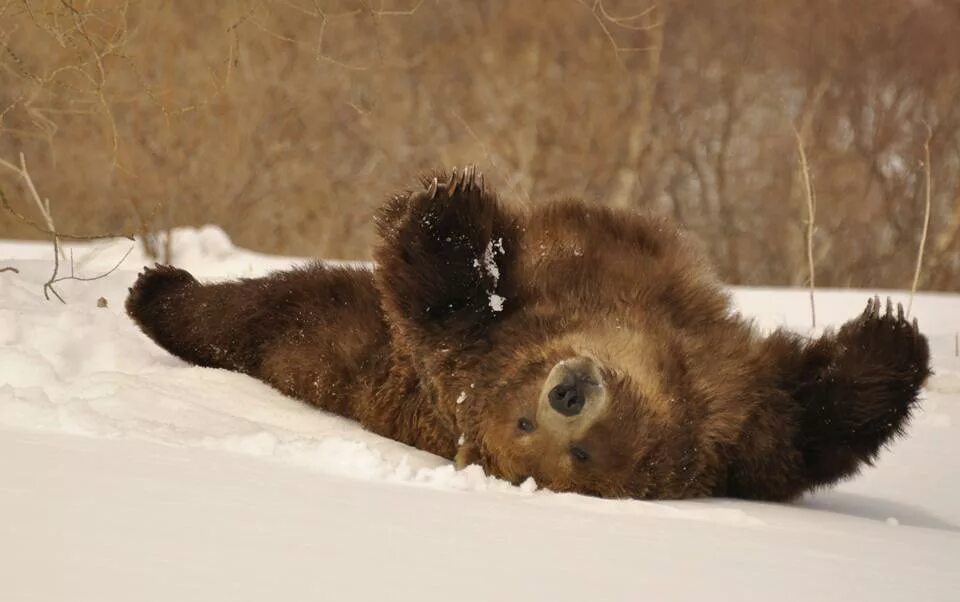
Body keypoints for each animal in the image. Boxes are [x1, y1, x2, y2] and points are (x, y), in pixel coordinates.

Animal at [125, 166, 928, 500]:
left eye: (581, 452)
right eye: (522, 422)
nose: (567, 392)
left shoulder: (737, 404)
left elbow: (815, 419)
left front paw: (897, 338)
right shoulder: (481, 350)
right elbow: (447, 297)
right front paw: (452, 207)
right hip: (331, 336)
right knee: (259, 308)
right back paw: (156, 288)